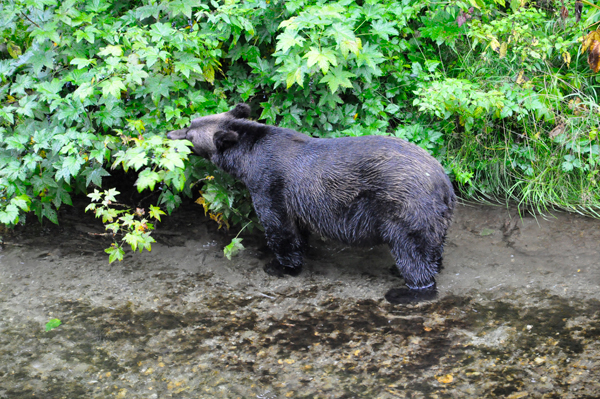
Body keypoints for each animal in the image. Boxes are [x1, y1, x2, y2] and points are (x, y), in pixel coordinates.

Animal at [166, 103, 458, 304]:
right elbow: (298, 228)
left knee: (412, 252)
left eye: (189, 130)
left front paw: (280, 265)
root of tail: (444, 183)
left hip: (405, 207)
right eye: (191, 123)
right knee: (431, 248)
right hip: (434, 216)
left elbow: (279, 227)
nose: (169, 132)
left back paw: (406, 291)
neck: (247, 157)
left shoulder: (269, 182)